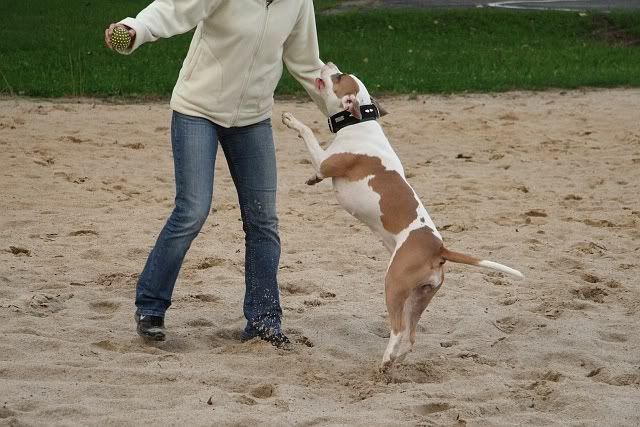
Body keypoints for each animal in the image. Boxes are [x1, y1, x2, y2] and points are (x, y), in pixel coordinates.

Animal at [281, 62, 523, 370]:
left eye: (338, 77)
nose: (329, 64)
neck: (358, 123)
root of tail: (438, 248)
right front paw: (311, 179)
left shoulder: (325, 161)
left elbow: (309, 135)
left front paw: (291, 119)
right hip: (420, 297)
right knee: (410, 336)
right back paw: (395, 361)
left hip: (394, 285)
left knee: (398, 329)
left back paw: (385, 360)